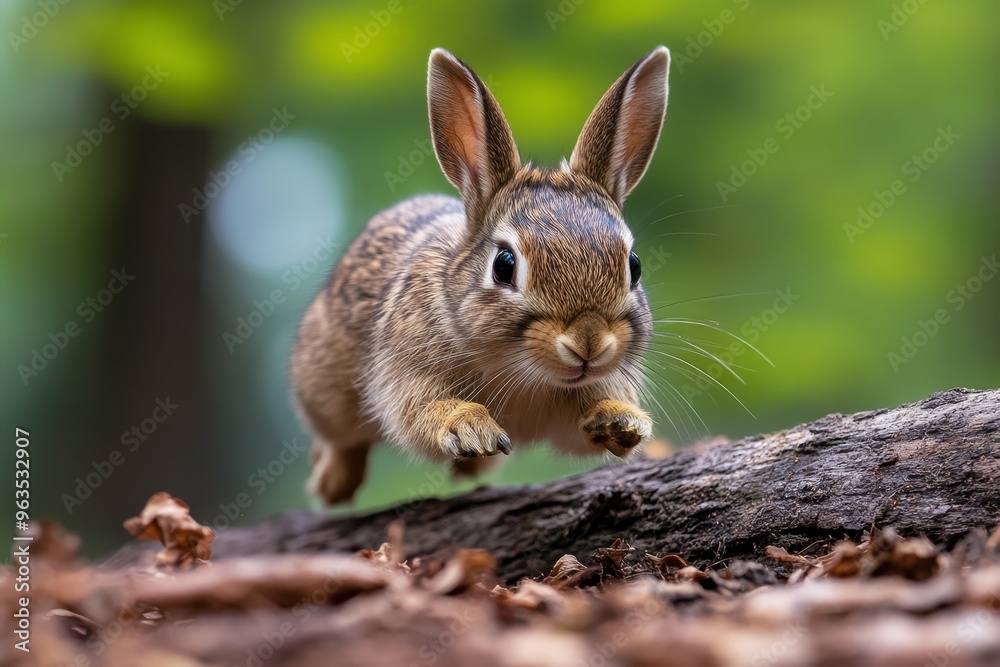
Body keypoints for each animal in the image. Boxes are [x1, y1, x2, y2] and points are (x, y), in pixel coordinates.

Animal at [291, 46, 670, 504]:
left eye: (633, 265)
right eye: (504, 265)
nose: (588, 342)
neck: (525, 370)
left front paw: (620, 422)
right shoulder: (405, 372)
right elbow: (420, 412)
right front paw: (471, 428)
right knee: (341, 442)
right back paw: (333, 486)